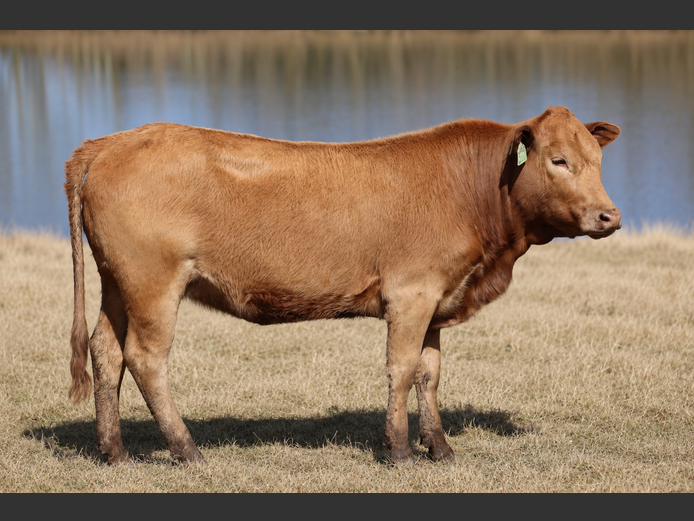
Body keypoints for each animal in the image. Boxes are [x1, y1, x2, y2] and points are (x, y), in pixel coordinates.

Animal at [64, 106, 621, 465]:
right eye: (558, 159)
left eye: (597, 159)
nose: (609, 215)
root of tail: (110, 142)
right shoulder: (411, 294)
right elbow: (401, 370)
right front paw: (400, 451)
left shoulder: (438, 297)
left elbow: (429, 373)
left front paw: (440, 448)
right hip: (153, 281)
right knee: (145, 358)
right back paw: (186, 449)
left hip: (117, 281)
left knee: (106, 350)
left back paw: (114, 452)